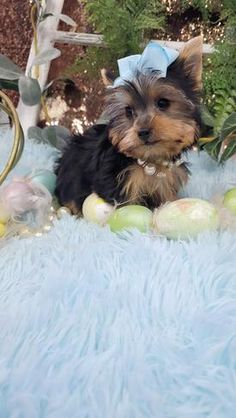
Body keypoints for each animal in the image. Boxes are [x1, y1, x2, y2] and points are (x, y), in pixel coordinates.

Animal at [54, 36, 203, 214]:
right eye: (128, 111)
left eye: (163, 103)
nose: (143, 131)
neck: (151, 159)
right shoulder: (119, 183)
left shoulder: (166, 182)